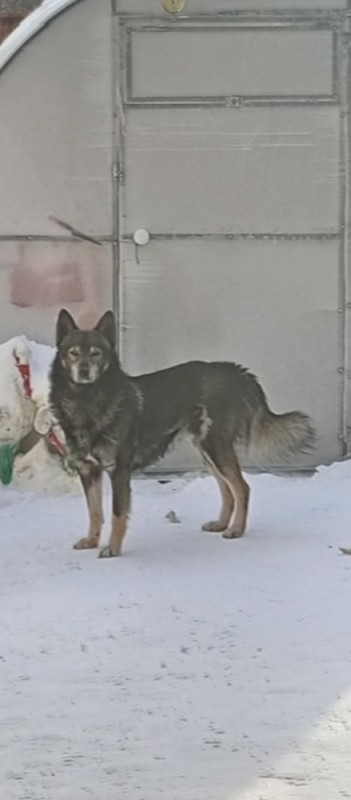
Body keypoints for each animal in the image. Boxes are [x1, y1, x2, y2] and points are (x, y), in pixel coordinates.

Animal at [49, 310, 316, 560]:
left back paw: (236, 529)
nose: (84, 372)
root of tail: (237, 372)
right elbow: (95, 512)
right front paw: (92, 541)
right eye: (73, 353)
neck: (87, 400)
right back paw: (221, 524)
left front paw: (112, 549)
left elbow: (117, 514)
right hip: (207, 451)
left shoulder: (119, 471)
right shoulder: (88, 471)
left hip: (216, 448)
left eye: (96, 353)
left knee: (242, 488)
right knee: (227, 489)